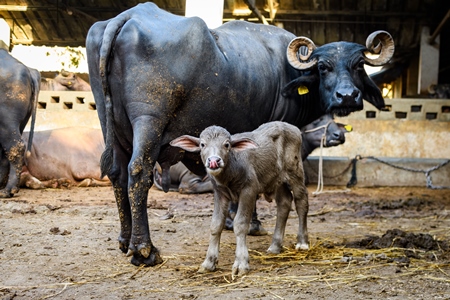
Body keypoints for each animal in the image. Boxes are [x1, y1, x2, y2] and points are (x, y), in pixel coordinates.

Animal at [85, 1, 394, 264]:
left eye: (358, 65)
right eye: (323, 66)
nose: (347, 96)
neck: (288, 73)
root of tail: (129, 16)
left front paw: (233, 219)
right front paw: (253, 223)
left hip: (109, 122)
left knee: (117, 172)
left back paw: (125, 240)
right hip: (149, 121)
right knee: (138, 172)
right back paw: (144, 249)